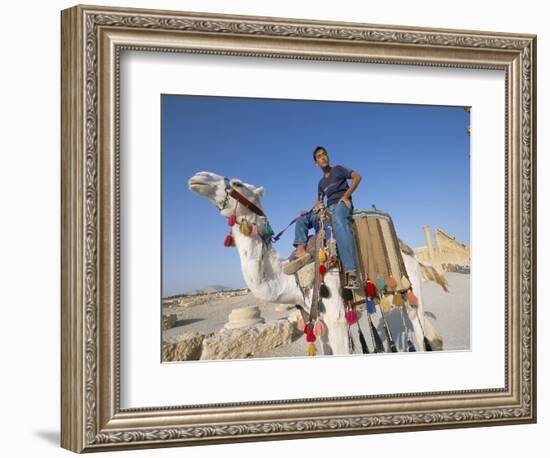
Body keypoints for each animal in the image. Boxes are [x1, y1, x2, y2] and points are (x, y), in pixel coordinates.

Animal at [188, 171, 446, 354]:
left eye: (239, 184)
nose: (198, 177)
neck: (291, 279)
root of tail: (409, 251)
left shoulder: (335, 318)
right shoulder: (317, 321)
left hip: (411, 286)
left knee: (419, 331)